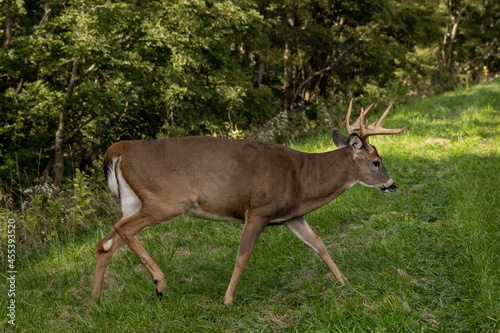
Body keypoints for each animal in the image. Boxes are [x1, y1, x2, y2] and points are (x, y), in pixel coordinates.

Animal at [88, 99, 404, 308]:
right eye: (377, 162)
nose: (392, 185)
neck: (303, 179)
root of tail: (120, 149)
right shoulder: (258, 210)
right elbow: (243, 255)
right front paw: (228, 300)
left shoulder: (291, 215)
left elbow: (319, 245)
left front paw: (344, 282)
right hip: (166, 200)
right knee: (124, 230)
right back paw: (159, 283)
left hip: (132, 201)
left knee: (105, 243)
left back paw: (95, 304)